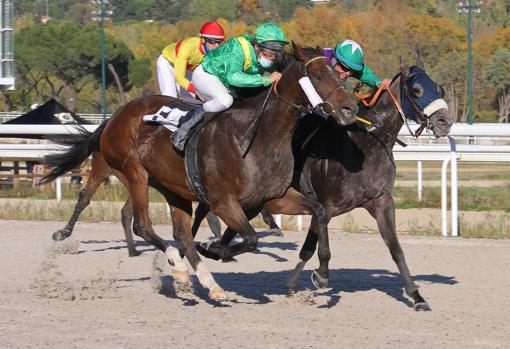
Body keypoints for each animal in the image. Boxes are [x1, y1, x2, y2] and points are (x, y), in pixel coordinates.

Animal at [40, 42, 358, 300]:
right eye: (318, 76)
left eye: (337, 74)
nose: (350, 108)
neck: (257, 136)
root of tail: (115, 116)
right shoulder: (223, 201)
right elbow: (250, 238)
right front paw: (217, 249)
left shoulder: (272, 198)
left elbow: (319, 211)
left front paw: (322, 272)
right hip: (133, 172)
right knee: (140, 224)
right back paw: (176, 265)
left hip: (173, 188)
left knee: (181, 236)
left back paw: (209, 283)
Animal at [197, 57, 452, 310]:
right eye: (417, 89)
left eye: (440, 89)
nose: (445, 122)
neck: (365, 145)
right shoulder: (325, 204)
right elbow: (310, 247)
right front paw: (315, 278)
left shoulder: (381, 201)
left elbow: (396, 249)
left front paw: (416, 296)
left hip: (254, 200)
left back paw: (216, 249)